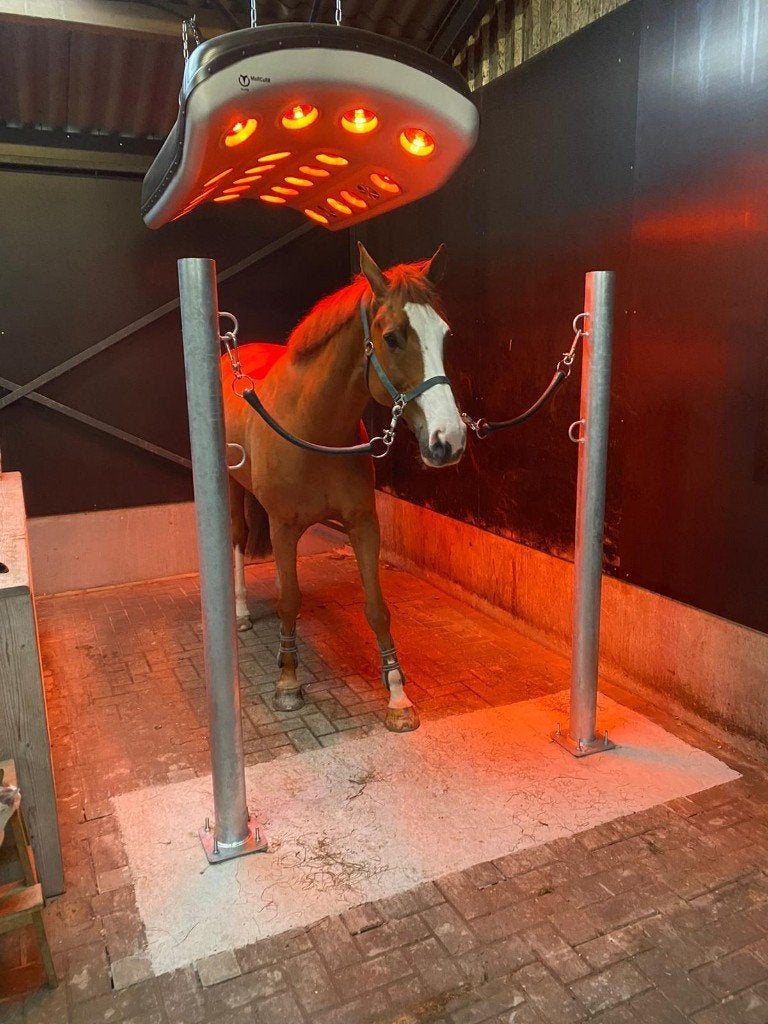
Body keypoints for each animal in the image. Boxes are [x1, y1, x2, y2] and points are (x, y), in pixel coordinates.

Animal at [221, 243, 466, 733]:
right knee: (237, 539)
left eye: (445, 336)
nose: (449, 439)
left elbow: (376, 606)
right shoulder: (283, 528)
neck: (312, 425)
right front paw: (288, 682)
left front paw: (397, 695)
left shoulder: (362, 523)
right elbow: (289, 601)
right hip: (232, 486)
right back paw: (239, 614)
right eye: (392, 338)